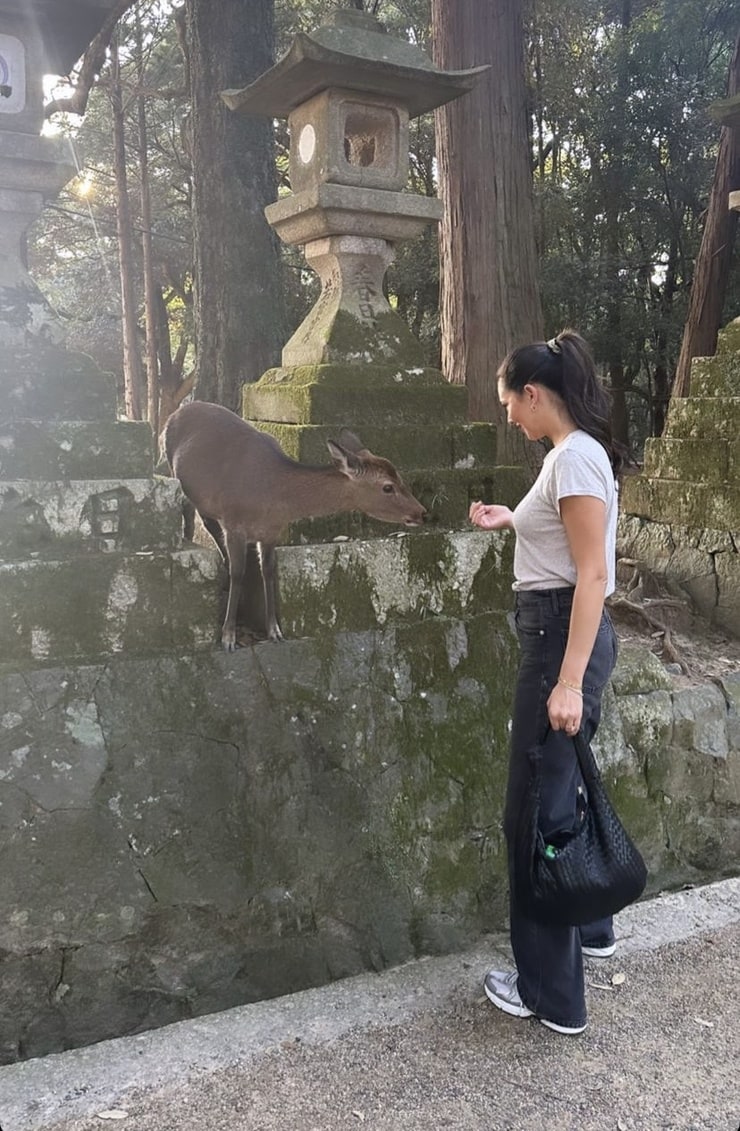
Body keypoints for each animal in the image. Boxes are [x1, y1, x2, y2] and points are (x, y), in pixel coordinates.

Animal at [164, 402, 429, 651]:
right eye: (387, 487)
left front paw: (275, 632)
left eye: (400, 477)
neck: (273, 495)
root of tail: (176, 412)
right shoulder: (233, 523)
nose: (422, 513)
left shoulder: (271, 533)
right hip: (174, 469)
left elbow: (268, 571)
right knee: (193, 515)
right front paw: (228, 637)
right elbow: (239, 573)